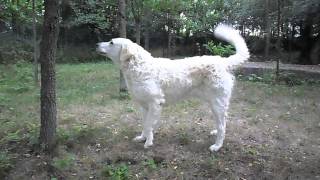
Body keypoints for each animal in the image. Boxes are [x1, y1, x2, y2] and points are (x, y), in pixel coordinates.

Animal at [97, 24, 250, 152]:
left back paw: (217, 146)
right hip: (213, 103)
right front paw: (143, 138)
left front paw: (148, 143)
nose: (97, 44)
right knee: (222, 122)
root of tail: (223, 61)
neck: (138, 66)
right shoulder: (144, 106)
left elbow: (149, 124)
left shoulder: (155, 103)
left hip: (217, 103)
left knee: (222, 125)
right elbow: (145, 124)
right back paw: (215, 133)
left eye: (111, 42)